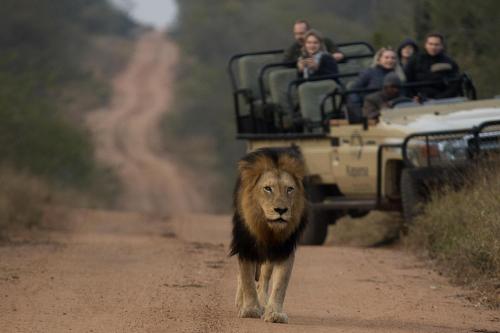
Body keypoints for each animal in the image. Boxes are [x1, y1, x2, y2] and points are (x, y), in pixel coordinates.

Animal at [231, 146, 308, 322]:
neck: (267, 228)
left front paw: (274, 313)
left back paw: (263, 302)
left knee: (264, 277)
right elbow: (247, 278)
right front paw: (250, 309)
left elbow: (280, 284)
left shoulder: (284, 249)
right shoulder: (245, 245)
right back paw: (241, 303)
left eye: (289, 189)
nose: (281, 210)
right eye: (268, 188)